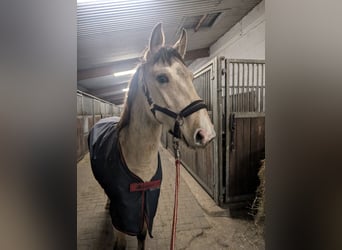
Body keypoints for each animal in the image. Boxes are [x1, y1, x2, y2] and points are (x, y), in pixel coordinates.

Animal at [88, 22, 216, 249]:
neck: (139, 162)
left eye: (191, 77)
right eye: (162, 78)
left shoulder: (146, 206)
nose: (206, 134)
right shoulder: (122, 215)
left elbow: (141, 236)